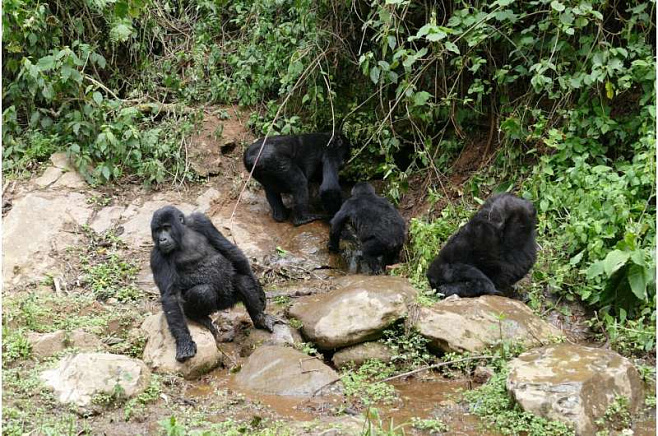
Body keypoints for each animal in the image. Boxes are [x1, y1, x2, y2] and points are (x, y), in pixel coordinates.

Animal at [150, 206, 272, 362]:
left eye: (166, 227)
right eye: (157, 230)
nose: (162, 239)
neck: (182, 236)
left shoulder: (202, 221)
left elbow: (231, 251)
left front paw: (260, 291)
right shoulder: (157, 256)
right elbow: (171, 296)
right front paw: (184, 341)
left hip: (228, 299)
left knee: (243, 281)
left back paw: (260, 319)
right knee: (203, 291)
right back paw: (198, 317)